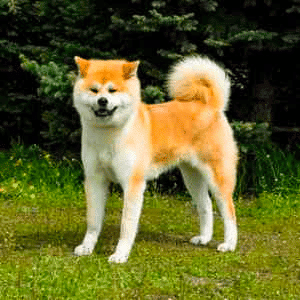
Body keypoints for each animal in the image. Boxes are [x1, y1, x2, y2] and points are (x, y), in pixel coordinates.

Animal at [73, 55, 239, 264]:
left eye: (112, 90)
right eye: (94, 90)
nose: (102, 101)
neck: (108, 135)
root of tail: (210, 105)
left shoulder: (133, 184)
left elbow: (126, 225)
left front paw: (120, 254)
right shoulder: (95, 179)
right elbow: (93, 220)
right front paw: (87, 247)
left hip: (217, 176)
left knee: (229, 212)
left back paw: (229, 244)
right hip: (192, 177)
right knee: (206, 205)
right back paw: (204, 238)